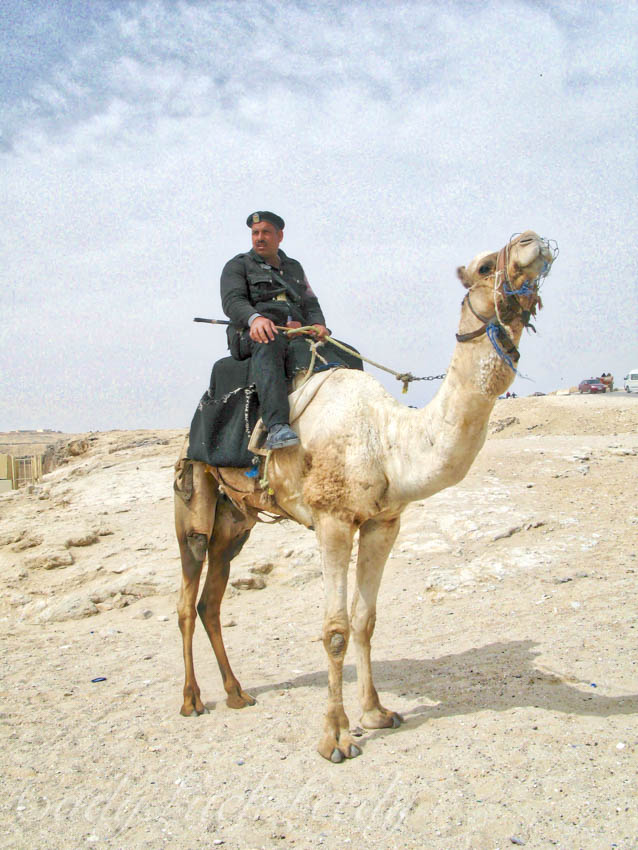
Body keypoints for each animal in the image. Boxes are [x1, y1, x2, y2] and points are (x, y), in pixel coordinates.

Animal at [174, 230, 556, 762]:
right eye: (484, 266)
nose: (531, 240)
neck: (386, 437)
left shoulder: (384, 522)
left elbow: (365, 620)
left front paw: (375, 713)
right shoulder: (333, 519)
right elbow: (335, 629)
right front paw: (335, 737)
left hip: (238, 520)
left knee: (212, 599)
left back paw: (237, 693)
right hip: (194, 490)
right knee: (187, 596)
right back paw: (192, 700)